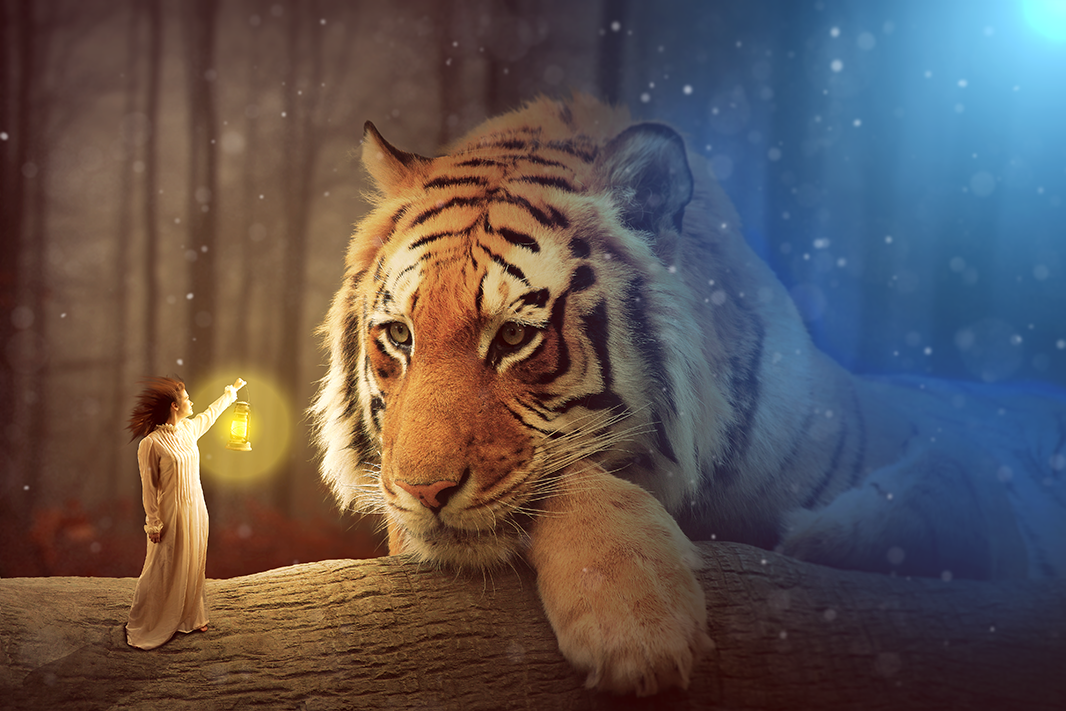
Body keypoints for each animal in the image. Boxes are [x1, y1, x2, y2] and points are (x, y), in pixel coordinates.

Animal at [311, 94, 1066, 696]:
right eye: (399, 336)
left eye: (516, 337)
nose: (422, 491)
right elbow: (571, 475)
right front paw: (638, 630)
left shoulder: (962, 469)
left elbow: (940, 491)